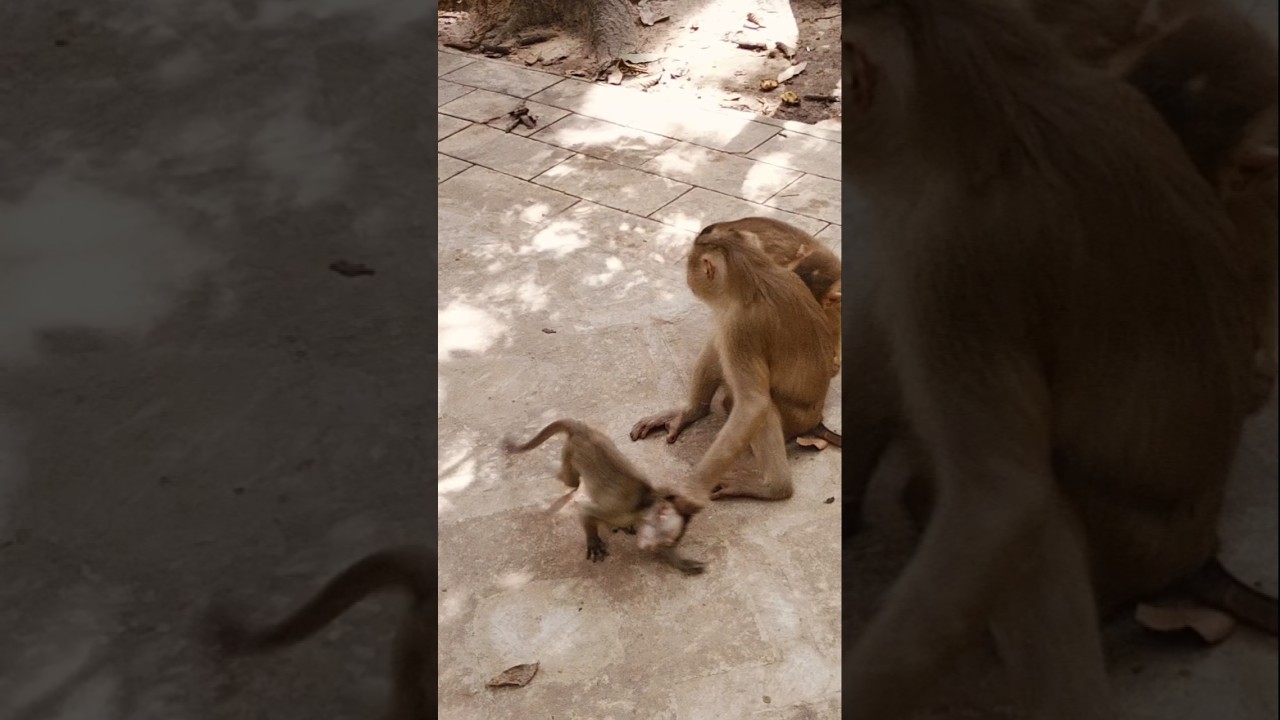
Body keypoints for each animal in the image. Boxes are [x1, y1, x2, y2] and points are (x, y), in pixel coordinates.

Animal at [502, 418, 706, 575]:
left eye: (665, 544)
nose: (653, 548)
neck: (643, 506)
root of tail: (582, 429)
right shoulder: (621, 508)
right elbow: (586, 510)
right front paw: (593, 542)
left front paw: (680, 562)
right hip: (571, 451)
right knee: (570, 481)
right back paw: (557, 474)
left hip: (601, 439)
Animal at [630, 223, 838, 505]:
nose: (689, 279)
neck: (757, 276)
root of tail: (815, 419)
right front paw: (689, 412)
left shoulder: (740, 328)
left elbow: (753, 405)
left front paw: (690, 490)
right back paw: (692, 412)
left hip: (794, 418)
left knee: (764, 406)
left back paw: (775, 488)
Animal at [842, 1, 1258, 717]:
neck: (1008, 104)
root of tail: (1201, 551)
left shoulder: (956, 259)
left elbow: (999, 504)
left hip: (1134, 545)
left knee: (1038, 521)